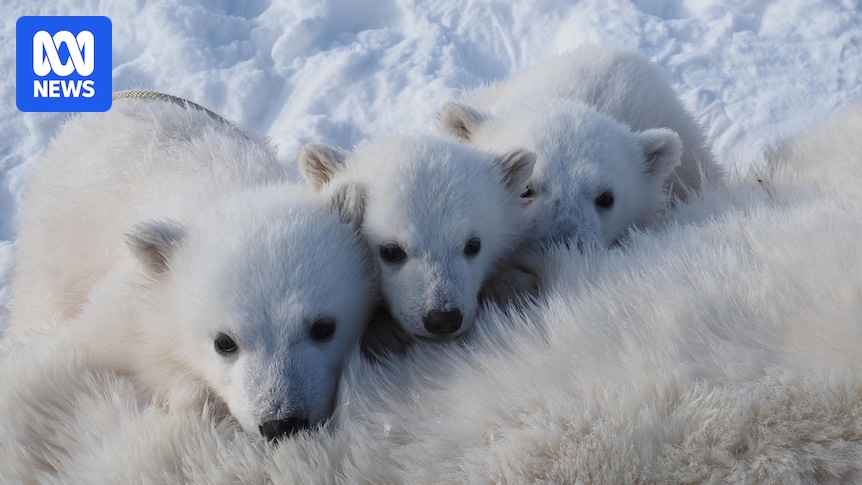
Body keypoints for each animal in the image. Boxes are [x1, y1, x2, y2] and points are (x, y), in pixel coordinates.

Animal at [6, 92, 377, 441]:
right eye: (224, 342)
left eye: (324, 327)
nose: (281, 423)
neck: (231, 190)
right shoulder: (126, 302)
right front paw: (194, 399)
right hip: (54, 248)